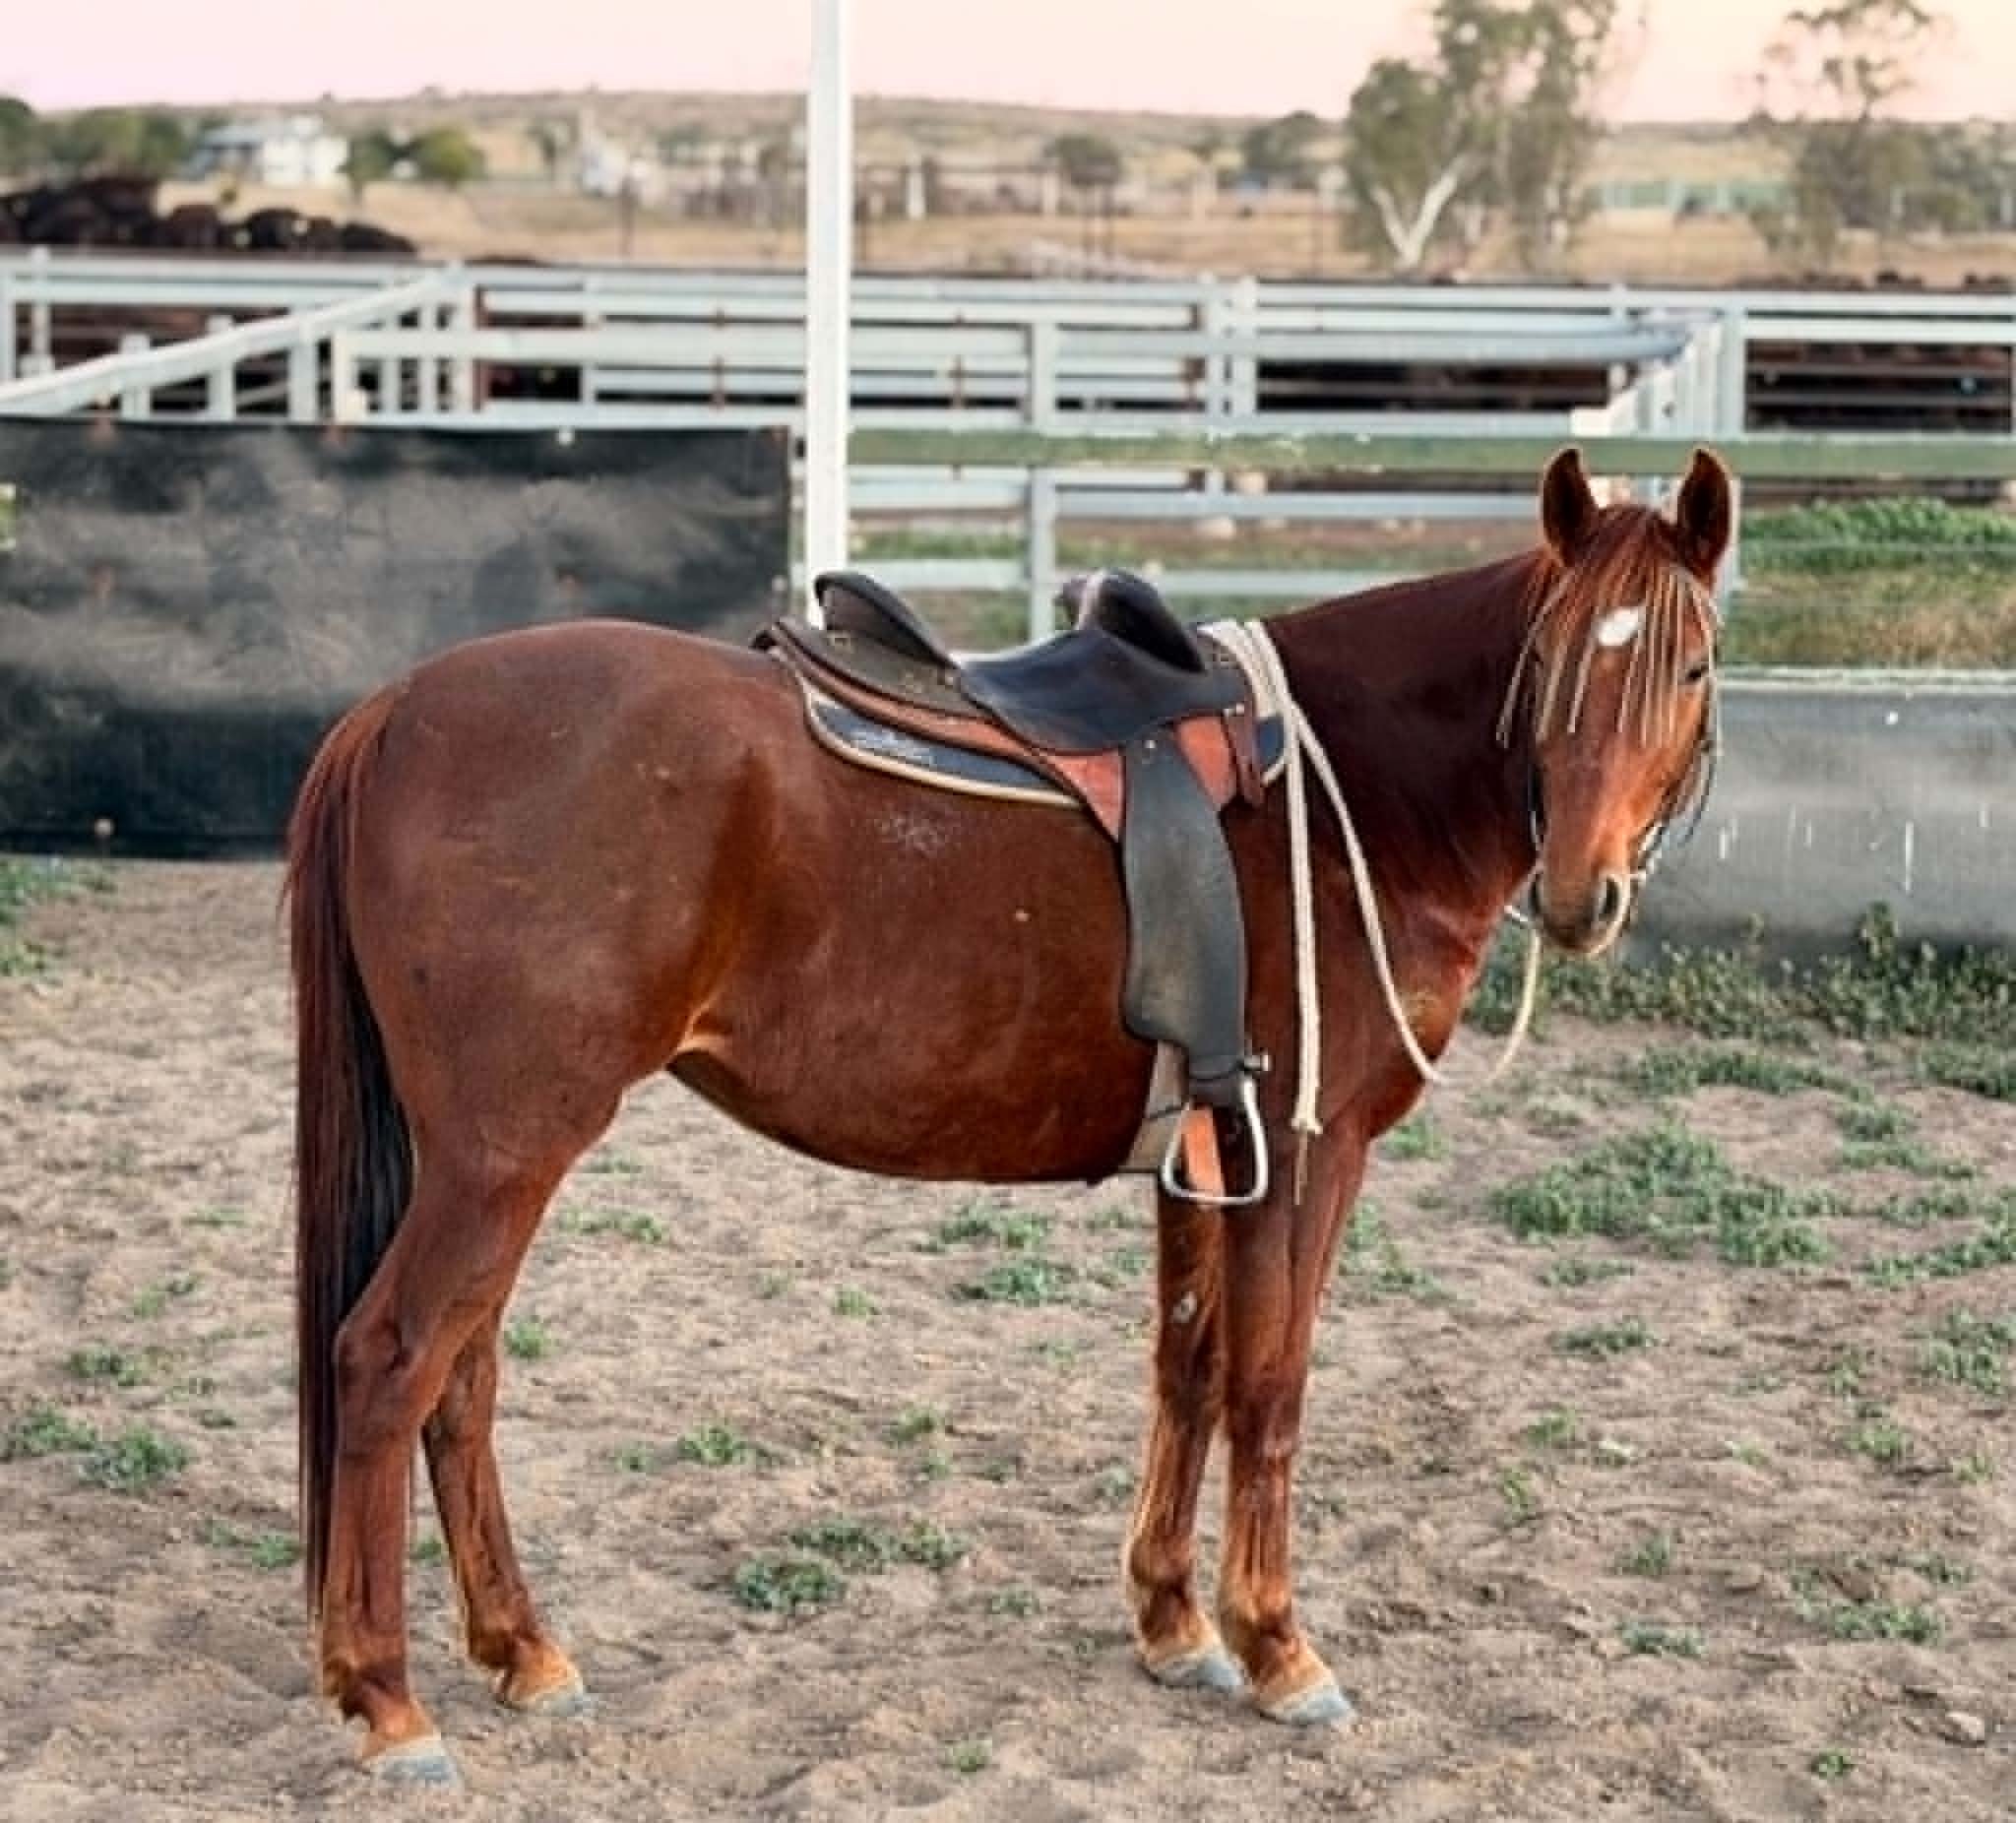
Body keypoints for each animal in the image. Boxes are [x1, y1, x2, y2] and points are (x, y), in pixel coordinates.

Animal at [287, 444, 1733, 1785]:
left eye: (1690, 669)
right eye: (1546, 661)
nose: (1581, 894)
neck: (1353, 794)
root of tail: (395, 709)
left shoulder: (1204, 1156)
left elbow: (1190, 1367)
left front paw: (1173, 1621)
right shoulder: (1302, 1154)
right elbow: (1270, 1389)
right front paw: (1278, 1646)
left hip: (492, 1161)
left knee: (461, 1377)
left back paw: (519, 1649)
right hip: (504, 1156)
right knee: (390, 1360)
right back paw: (388, 1697)